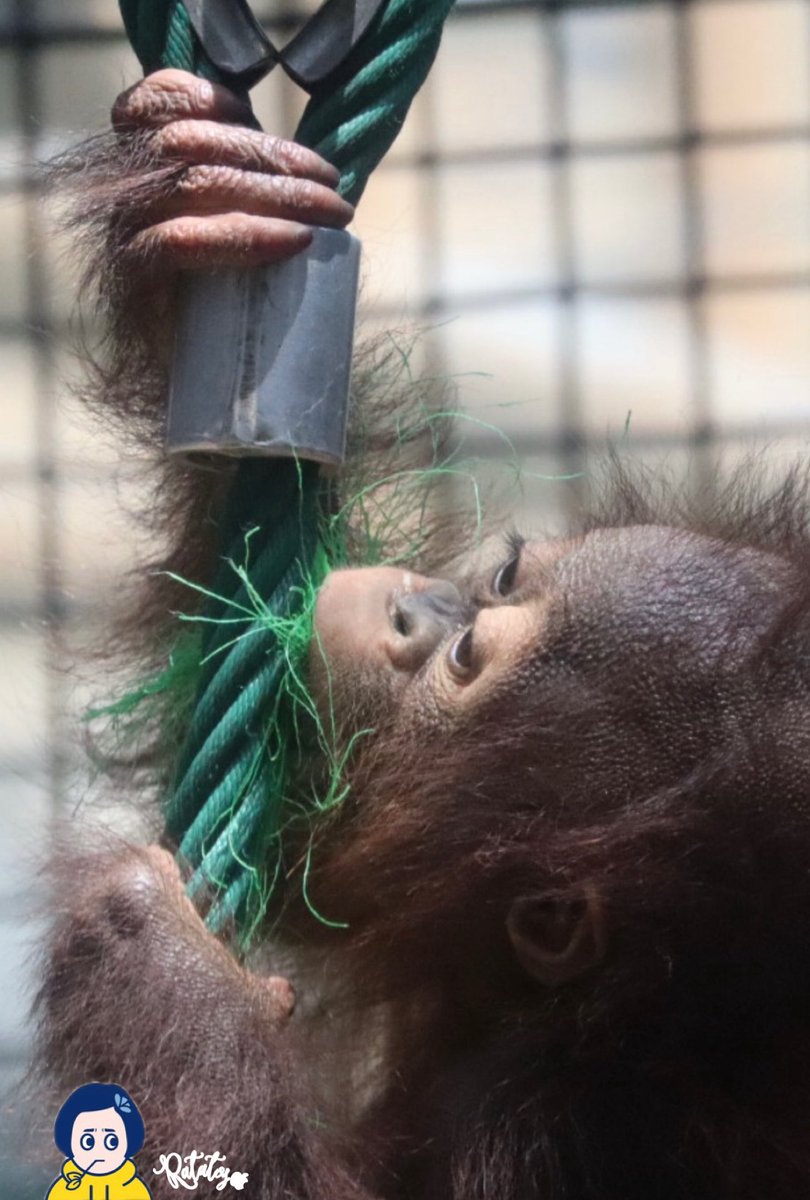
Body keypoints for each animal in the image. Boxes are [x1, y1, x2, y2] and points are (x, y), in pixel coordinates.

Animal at [32, 69, 810, 1200]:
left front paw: (157, 978)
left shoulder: (541, 1129)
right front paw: (204, 201)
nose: (418, 610)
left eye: (463, 660)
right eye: (507, 574)